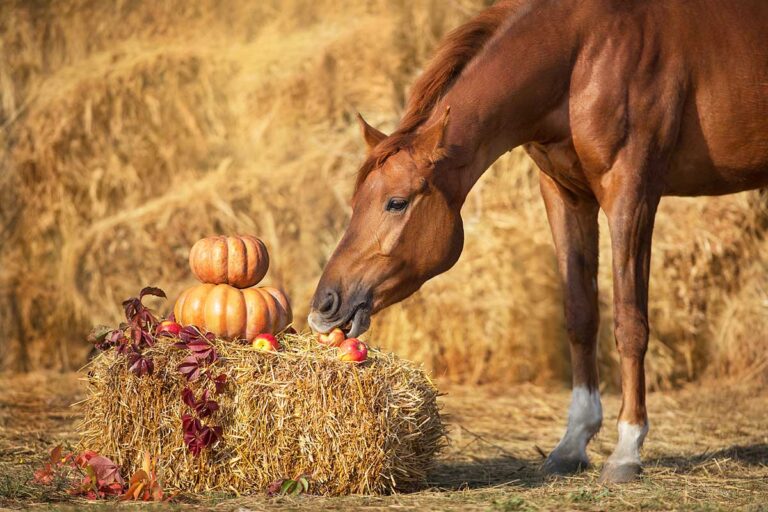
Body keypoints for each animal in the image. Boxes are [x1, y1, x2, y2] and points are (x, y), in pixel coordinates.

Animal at [308, 0, 768, 484]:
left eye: (396, 203)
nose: (325, 306)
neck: (588, 54)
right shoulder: (565, 194)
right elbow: (581, 315)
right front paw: (573, 443)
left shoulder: (631, 193)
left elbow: (629, 322)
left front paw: (627, 448)